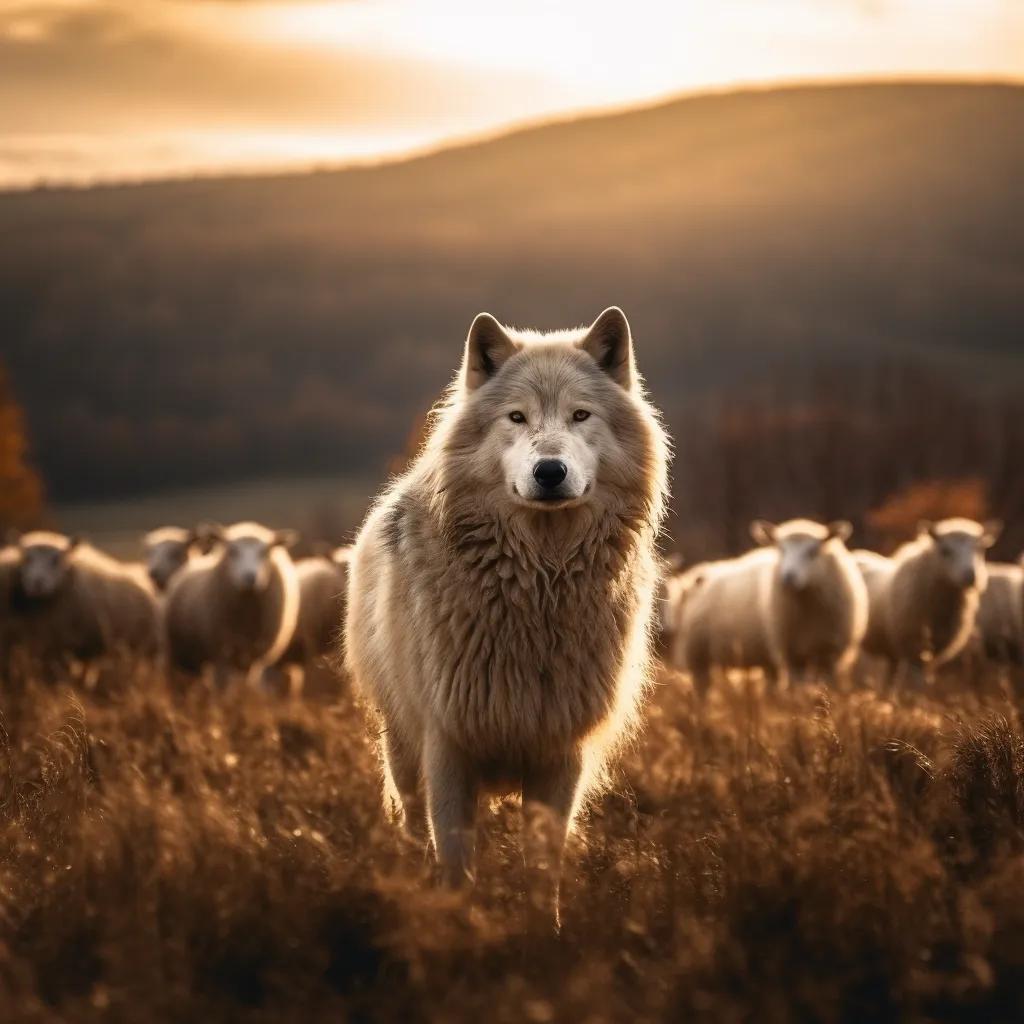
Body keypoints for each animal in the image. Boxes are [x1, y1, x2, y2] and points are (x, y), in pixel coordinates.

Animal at [5, 530, 160, 680]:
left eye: (57, 560)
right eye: (26, 558)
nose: (37, 583)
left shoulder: (86, 646)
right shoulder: (50, 647)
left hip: (140, 645)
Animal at [163, 521, 299, 687]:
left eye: (265, 552)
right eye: (233, 551)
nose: (250, 577)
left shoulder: (254, 654)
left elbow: (247, 684)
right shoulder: (221, 652)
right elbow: (223, 684)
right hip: (177, 651)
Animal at [344, 306, 670, 906]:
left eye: (580, 415)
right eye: (517, 417)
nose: (550, 471)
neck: (539, 588)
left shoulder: (560, 756)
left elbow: (543, 875)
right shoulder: (447, 750)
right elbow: (456, 870)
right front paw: (461, 920)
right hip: (402, 748)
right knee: (411, 826)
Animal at [855, 518, 1002, 686]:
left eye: (980, 549)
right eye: (945, 551)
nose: (970, 576)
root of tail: (859, 553)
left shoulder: (935, 648)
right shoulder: (914, 647)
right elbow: (917, 681)